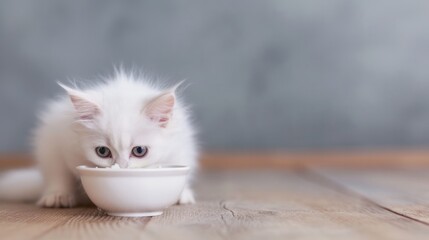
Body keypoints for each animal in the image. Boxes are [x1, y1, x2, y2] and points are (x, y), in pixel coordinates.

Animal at [0, 70, 197, 207]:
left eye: (139, 151)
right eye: (103, 152)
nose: (122, 167)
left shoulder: (181, 145)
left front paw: (182, 194)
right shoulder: (58, 140)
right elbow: (59, 173)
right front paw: (58, 195)